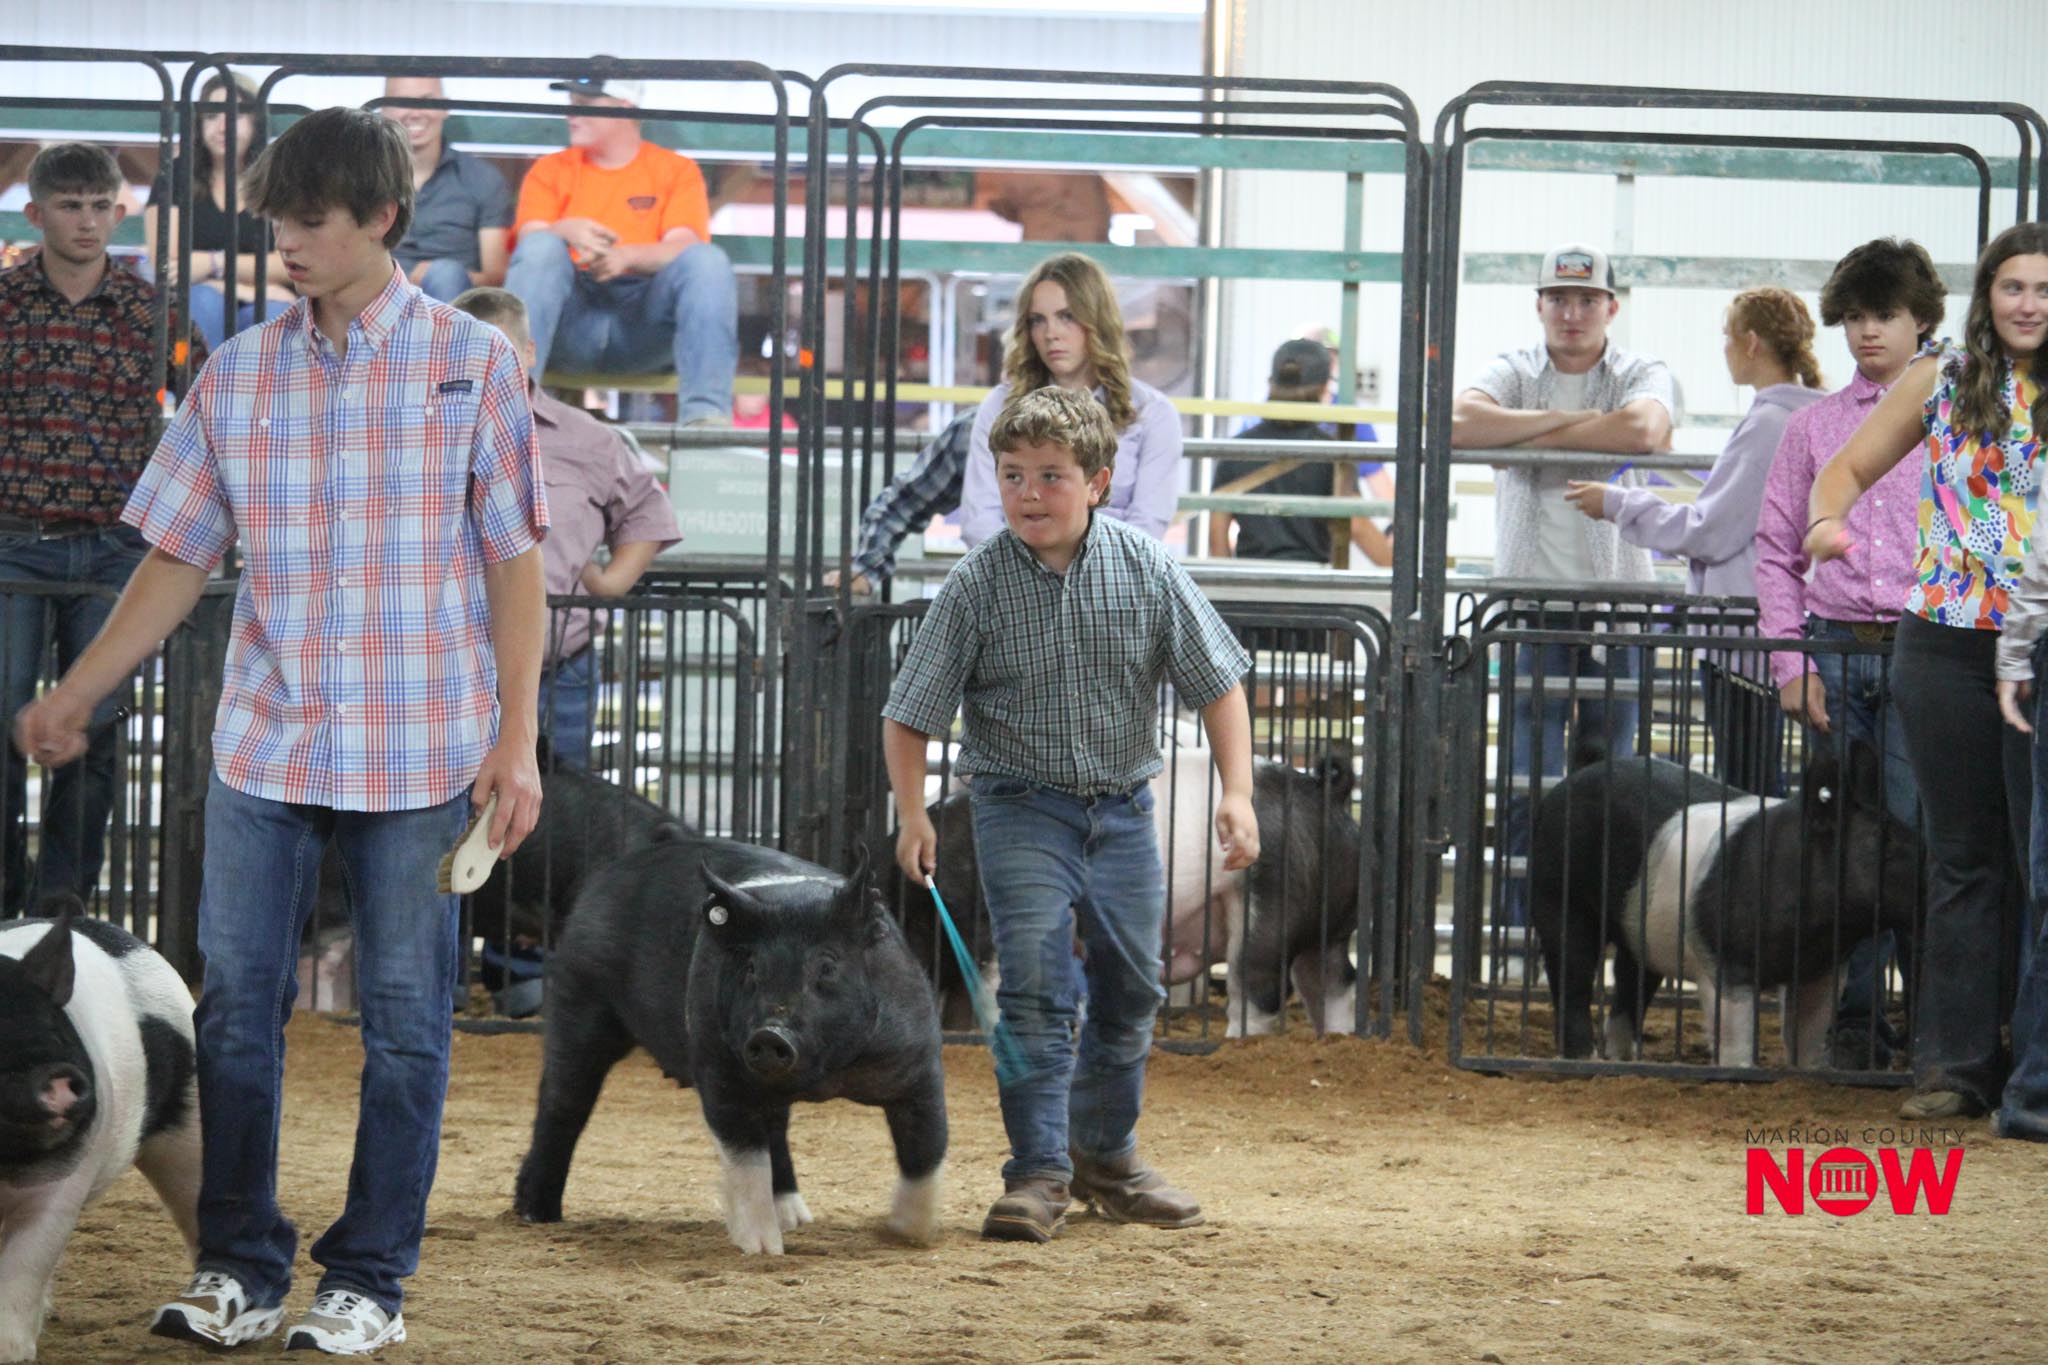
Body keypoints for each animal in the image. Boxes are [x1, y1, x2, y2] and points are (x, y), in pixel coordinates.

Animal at [0, 906, 199, 1362]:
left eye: (55, 1029)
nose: (59, 1079)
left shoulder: (61, 1188)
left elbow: (26, 1263)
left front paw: (10, 1352)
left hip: (191, 1121)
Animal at [514, 833, 947, 1255]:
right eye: (751, 967)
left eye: (827, 966)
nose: (770, 1034)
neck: (824, 1075)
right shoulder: (718, 1070)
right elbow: (746, 1157)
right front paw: (763, 1250)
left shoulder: (918, 1065)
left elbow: (927, 1149)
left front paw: (906, 1234)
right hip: (579, 996)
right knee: (562, 1104)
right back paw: (537, 1214)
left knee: (776, 1127)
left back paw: (796, 1218)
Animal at [891, 752, 1363, 1038]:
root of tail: (1324, 791)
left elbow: (990, 992)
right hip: (1331, 925)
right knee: (1335, 980)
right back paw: (1335, 1038)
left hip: (1269, 903)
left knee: (1259, 985)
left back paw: (1238, 1040)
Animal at [1528, 740, 1922, 1066]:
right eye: (1885, 843)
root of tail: (1575, 775)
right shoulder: (1723, 960)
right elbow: (1736, 1037)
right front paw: (1739, 1071)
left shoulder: (1821, 971)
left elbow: (1808, 1034)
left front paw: (1809, 1071)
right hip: (1556, 894)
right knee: (1572, 974)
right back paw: (1586, 1058)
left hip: (1638, 925)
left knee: (1630, 976)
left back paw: (1623, 1058)